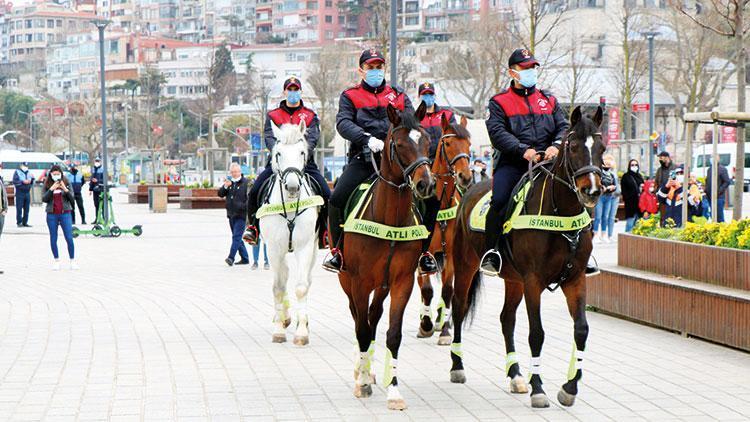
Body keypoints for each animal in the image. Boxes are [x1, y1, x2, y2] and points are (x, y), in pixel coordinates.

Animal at [258, 120, 320, 344]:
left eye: (302, 152)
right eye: (278, 153)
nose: (292, 187)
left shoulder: (305, 247)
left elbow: (301, 287)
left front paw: (302, 332)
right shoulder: (273, 248)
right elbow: (278, 287)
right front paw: (278, 330)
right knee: (283, 276)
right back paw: (283, 318)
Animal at [340, 101, 438, 408]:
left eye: (427, 141)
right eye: (399, 144)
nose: (426, 185)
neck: (389, 220)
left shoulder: (402, 281)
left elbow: (392, 334)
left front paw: (393, 389)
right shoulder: (359, 283)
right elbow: (360, 329)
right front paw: (361, 382)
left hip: (381, 287)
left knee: (373, 317)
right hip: (348, 282)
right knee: (359, 320)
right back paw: (361, 371)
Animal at [414, 113, 472, 344]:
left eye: (469, 144)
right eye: (447, 144)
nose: (465, 176)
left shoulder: (451, 255)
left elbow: (448, 291)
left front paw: (446, 331)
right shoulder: (424, 253)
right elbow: (427, 290)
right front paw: (426, 325)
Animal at [450, 105, 608, 408]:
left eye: (602, 147)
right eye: (573, 146)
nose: (592, 190)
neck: (559, 213)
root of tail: (470, 189)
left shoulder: (575, 279)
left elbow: (581, 329)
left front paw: (569, 388)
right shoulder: (534, 281)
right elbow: (537, 333)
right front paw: (539, 389)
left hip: (514, 280)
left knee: (506, 319)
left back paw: (515, 375)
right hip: (465, 267)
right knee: (458, 308)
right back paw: (457, 367)